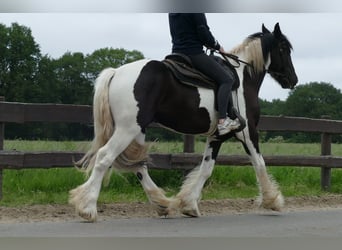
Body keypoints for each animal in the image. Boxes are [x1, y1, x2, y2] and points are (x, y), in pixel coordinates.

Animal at [71, 23, 298, 222]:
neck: (242, 79)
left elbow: (206, 168)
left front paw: (189, 205)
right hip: (127, 129)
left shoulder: (217, 137)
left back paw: (163, 204)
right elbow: (259, 163)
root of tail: (116, 73)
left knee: (138, 165)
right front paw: (273, 200)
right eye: (284, 48)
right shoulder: (248, 132)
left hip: (137, 131)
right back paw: (88, 208)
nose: (293, 80)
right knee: (104, 157)